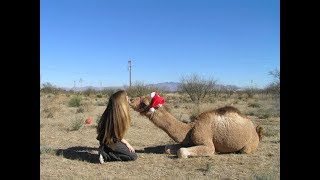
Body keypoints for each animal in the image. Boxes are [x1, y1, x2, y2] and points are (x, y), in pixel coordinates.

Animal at [129, 92, 264, 158]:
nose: (130, 100)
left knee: (245, 150)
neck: (190, 128)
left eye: (144, 103)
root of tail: (256, 131)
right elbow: (167, 148)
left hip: (249, 145)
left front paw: (217, 152)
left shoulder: (207, 144)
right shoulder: (188, 141)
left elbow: (182, 152)